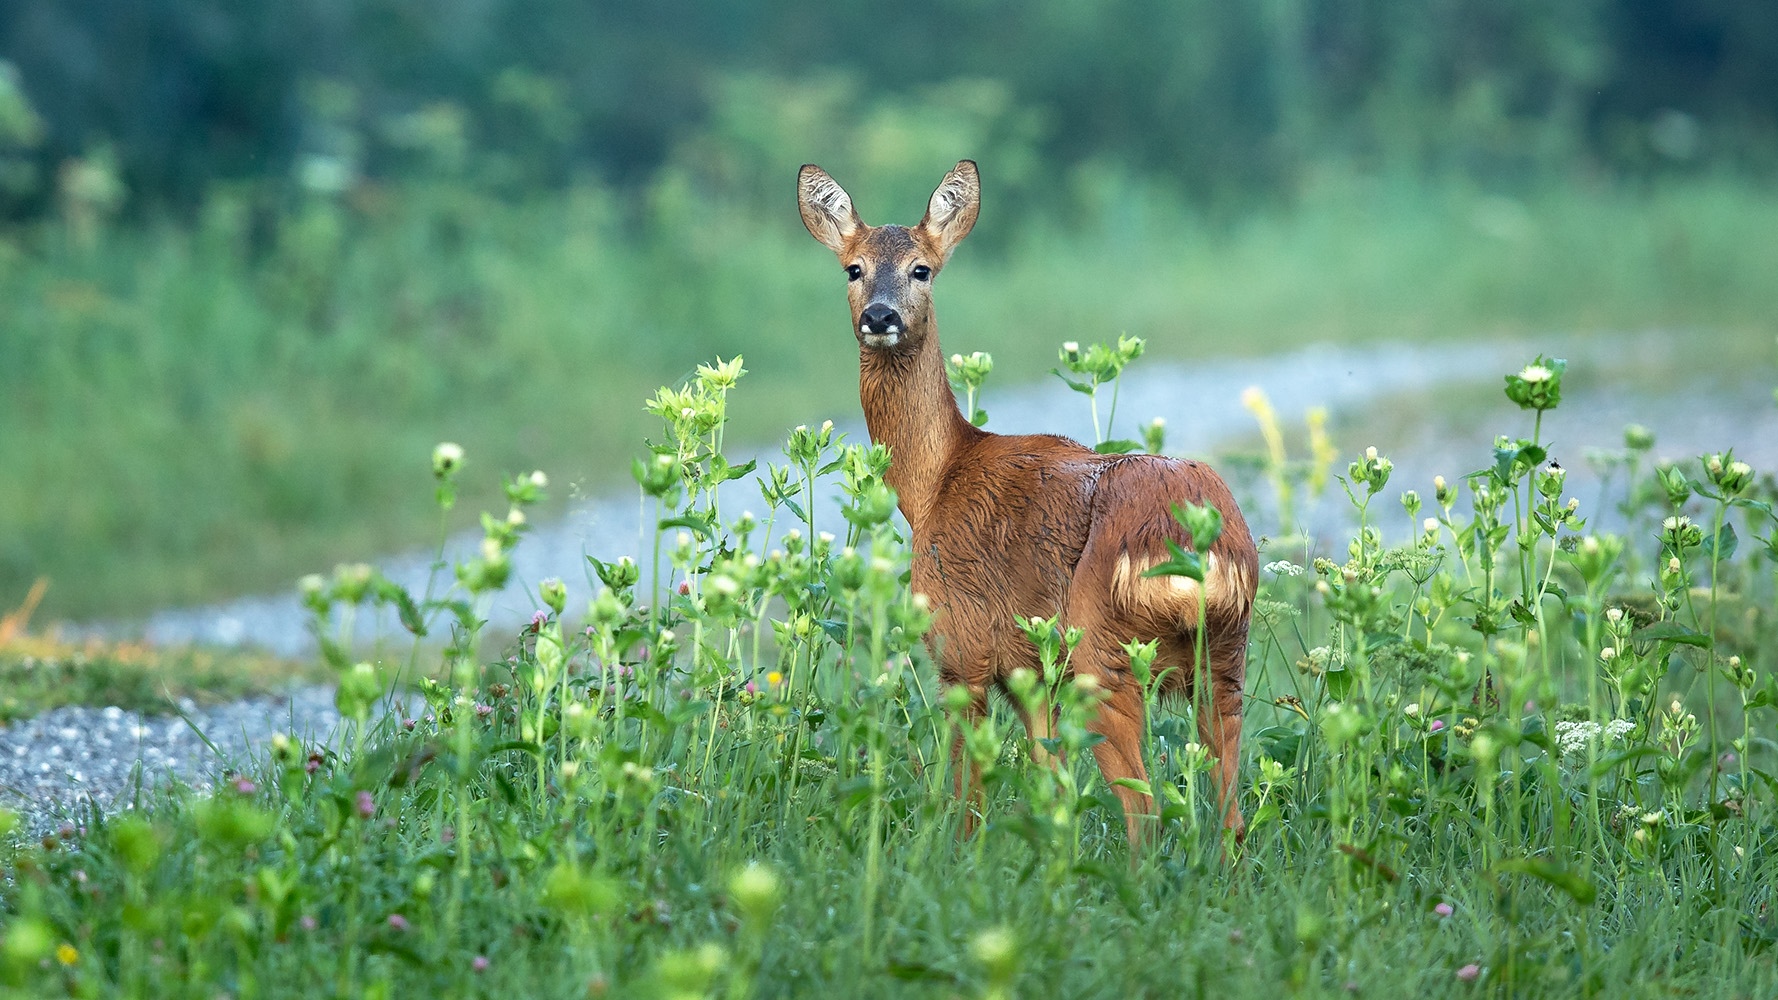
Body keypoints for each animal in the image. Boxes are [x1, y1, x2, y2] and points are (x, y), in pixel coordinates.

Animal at [800, 159, 1258, 843]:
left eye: (921, 269)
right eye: (852, 268)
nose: (880, 316)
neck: (933, 484)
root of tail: (1195, 543)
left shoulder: (961, 649)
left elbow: (969, 797)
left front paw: (959, 854)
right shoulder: (1031, 676)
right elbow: (1049, 783)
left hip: (1104, 652)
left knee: (1144, 810)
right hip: (1224, 657)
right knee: (1231, 811)